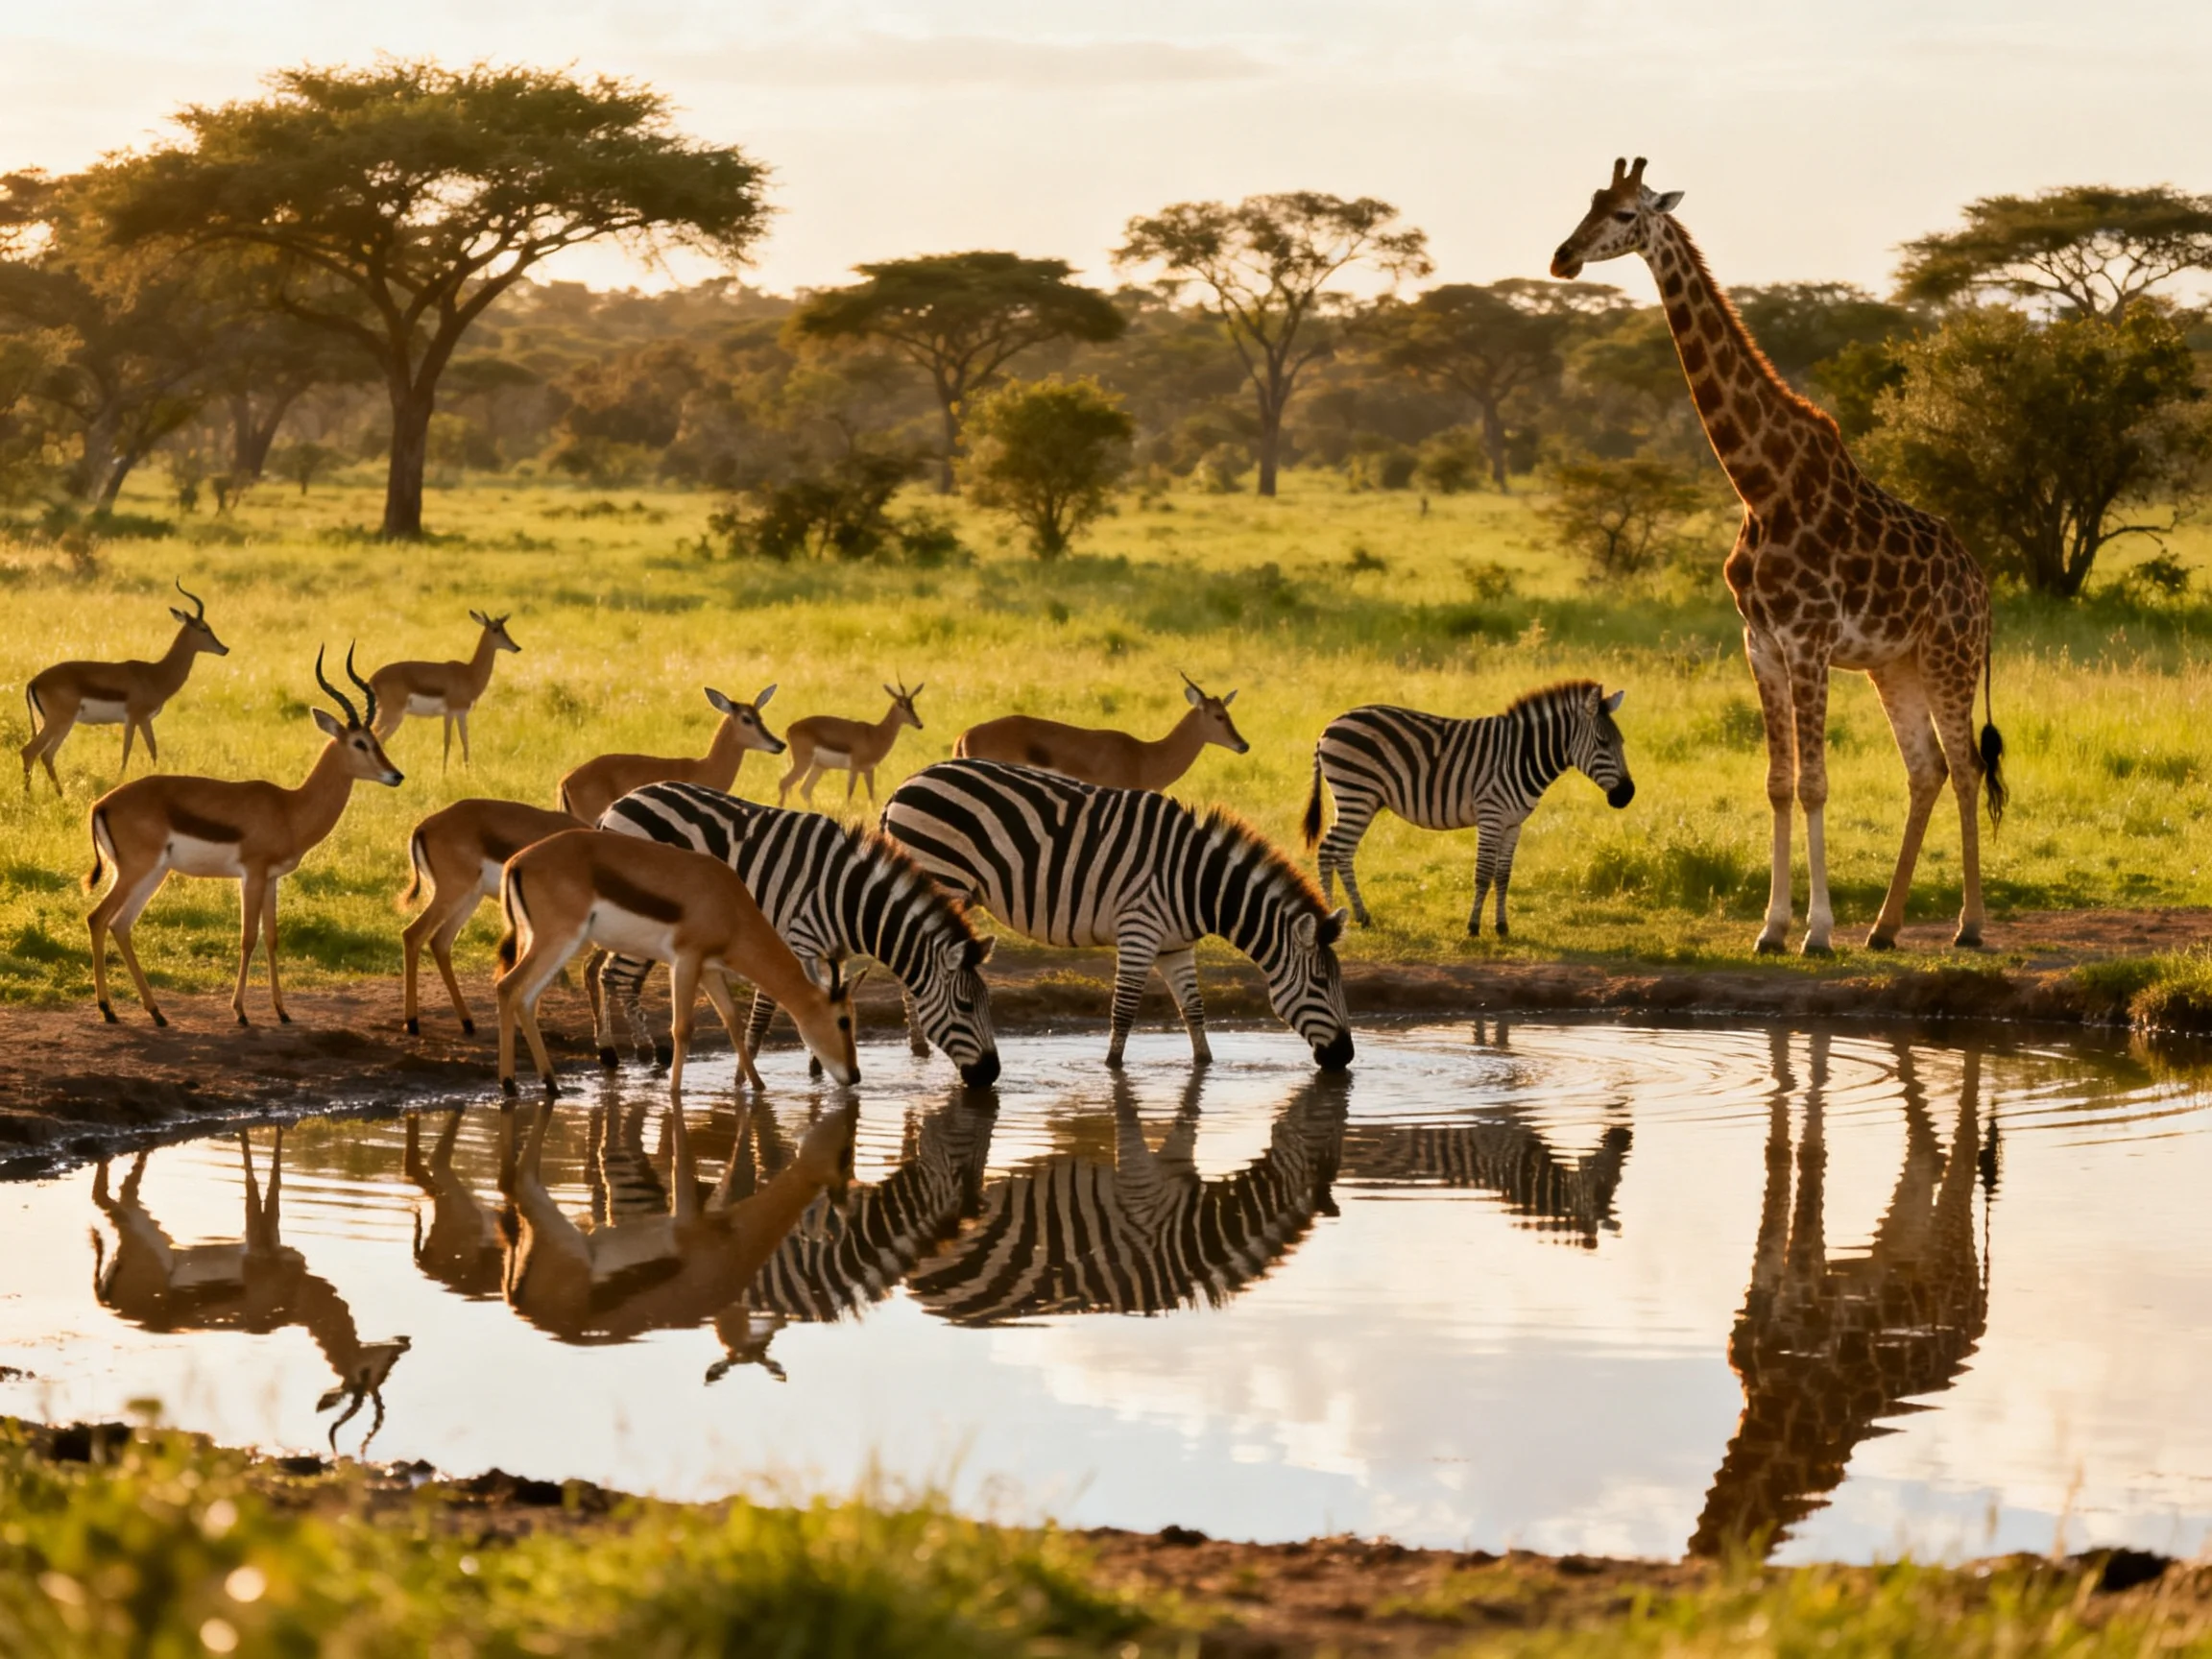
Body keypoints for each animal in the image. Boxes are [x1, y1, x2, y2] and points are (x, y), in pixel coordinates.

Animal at [593, 781, 1000, 1089]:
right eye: (966, 1006)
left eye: (986, 1005)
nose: (992, 1074)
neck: (847, 899)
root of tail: (617, 804)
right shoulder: (795, 940)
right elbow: (764, 1015)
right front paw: (744, 1081)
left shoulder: (833, 952)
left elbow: (825, 1001)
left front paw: (820, 1071)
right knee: (615, 975)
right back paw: (640, 1051)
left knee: (612, 974)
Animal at [882, 758, 1353, 1070]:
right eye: (1320, 982)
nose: (1346, 1056)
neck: (1198, 882)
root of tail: (904, 784)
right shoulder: (1139, 929)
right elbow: (1124, 1009)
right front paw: (1112, 1068)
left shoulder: (1176, 946)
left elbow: (1194, 1009)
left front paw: (1204, 1064)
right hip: (941, 876)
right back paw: (920, 1047)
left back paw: (918, 1047)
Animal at [1303, 679, 1635, 936]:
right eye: (1602, 742)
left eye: (1621, 741)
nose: (1628, 795)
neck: (1520, 756)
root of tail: (1328, 727)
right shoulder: (1491, 815)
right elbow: (1483, 872)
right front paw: (1474, 926)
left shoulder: (1513, 824)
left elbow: (1503, 875)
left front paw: (1502, 927)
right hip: (1355, 793)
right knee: (1329, 849)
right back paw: (1330, 917)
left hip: (1363, 799)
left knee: (1343, 852)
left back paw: (1362, 916)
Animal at [1550, 158, 2006, 954]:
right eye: (1591, 202)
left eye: (1627, 213)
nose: (1563, 257)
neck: (1761, 485)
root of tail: (1980, 584)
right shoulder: (1759, 643)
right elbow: (1777, 780)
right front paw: (1772, 927)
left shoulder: (1809, 641)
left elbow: (1816, 780)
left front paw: (1816, 931)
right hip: (1895, 664)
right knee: (1925, 769)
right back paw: (1884, 928)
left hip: (1949, 655)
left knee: (1967, 765)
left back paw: (1968, 926)